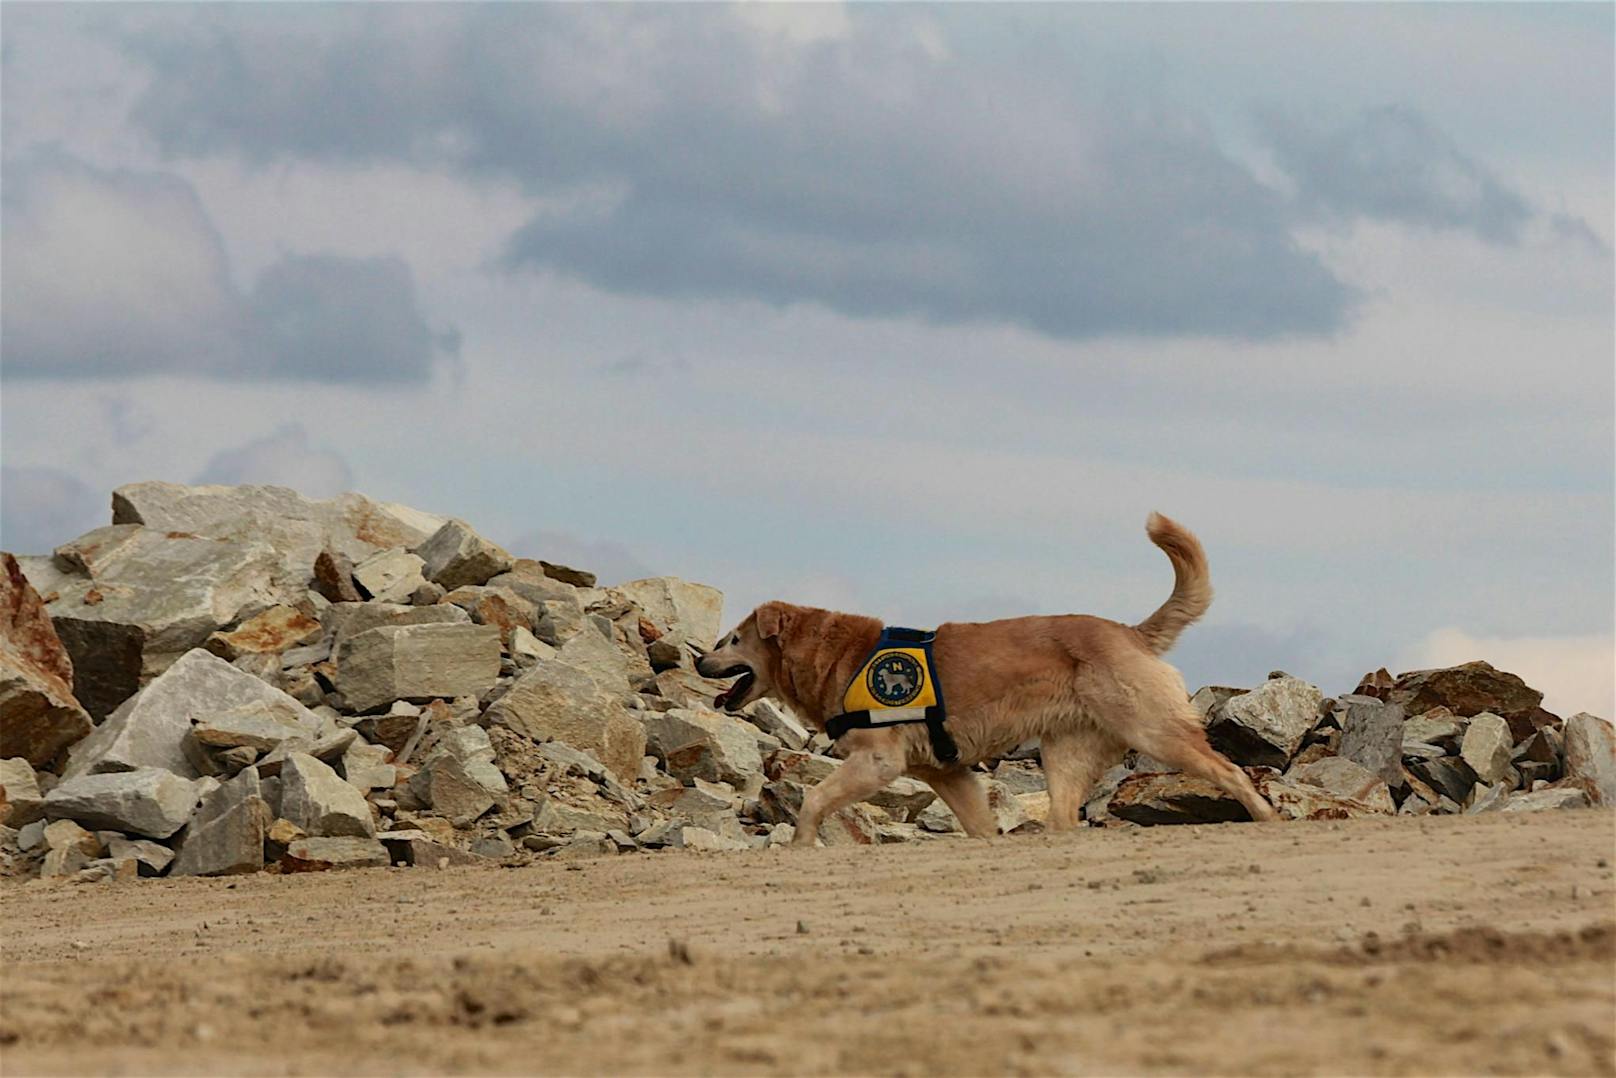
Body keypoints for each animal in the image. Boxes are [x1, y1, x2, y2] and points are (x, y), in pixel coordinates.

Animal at [701, 510, 1279, 846]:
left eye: (731, 638)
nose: (700, 662)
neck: (838, 655)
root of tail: (1130, 633)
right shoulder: (950, 773)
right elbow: (978, 823)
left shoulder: (878, 761)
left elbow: (816, 799)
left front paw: (800, 844)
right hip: (1065, 755)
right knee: (1065, 817)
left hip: (1152, 729)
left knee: (1228, 771)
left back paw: (1265, 817)